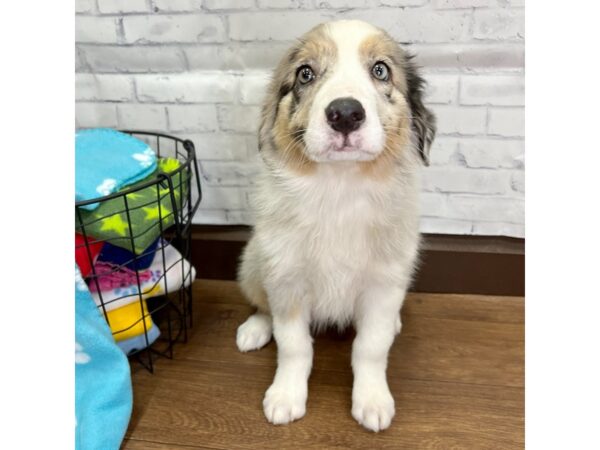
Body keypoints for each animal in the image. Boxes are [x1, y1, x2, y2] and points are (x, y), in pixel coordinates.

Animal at [234, 18, 436, 432]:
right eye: (305, 74)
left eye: (380, 70)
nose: (344, 114)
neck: (340, 189)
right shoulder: (286, 280)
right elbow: (293, 345)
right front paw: (285, 396)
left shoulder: (384, 283)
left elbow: (371, 347)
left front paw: (372, 401)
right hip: (253, 262)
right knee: (262, 304)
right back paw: (255, 329)